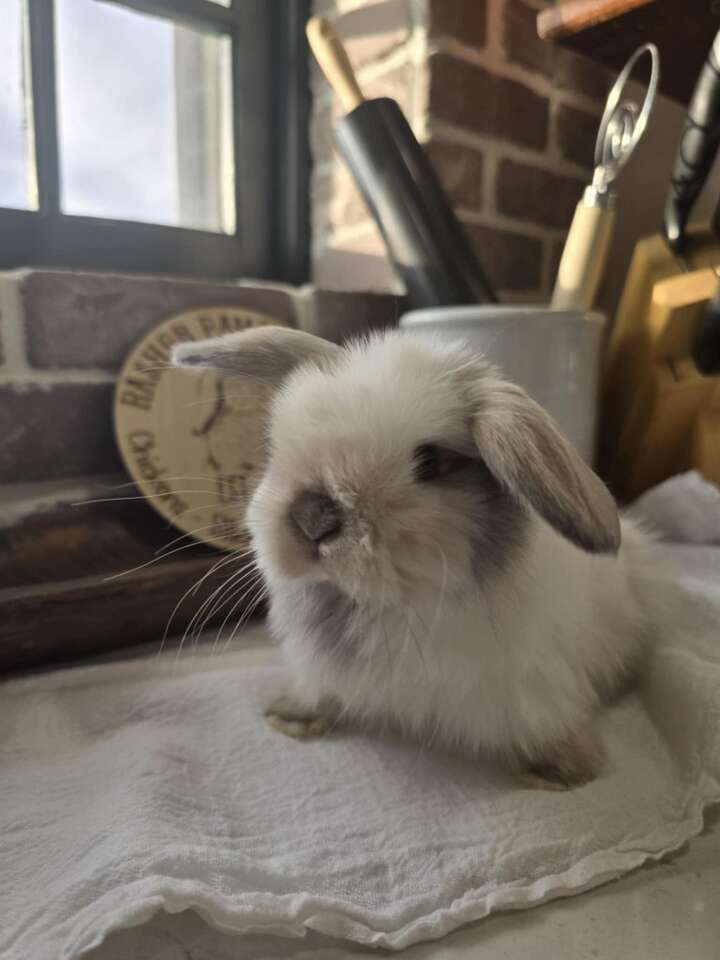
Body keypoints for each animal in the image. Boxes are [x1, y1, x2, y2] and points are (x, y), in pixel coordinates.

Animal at [173, 326, 664, 792]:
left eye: (429, 461)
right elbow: (317, 691)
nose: (312, 516)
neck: (393, 603)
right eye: (281, 438)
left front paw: (560, 773)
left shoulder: (540, 686)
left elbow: (553, 726)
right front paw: (289, 719)